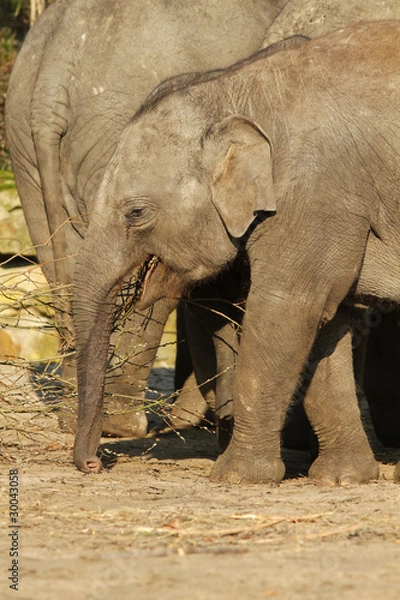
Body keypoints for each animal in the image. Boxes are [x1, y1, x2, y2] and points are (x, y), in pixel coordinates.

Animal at [4, 0, 290, 434]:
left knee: (60, 263)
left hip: (25, 144)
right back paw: (123, 424)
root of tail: (50, 85)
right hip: (110, 137)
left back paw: (77, 417)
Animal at [72, 21, 400, 486]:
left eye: (135, 213)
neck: (236, 86)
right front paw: (342, 479)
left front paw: (235, 476)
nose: (93, 463)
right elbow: (326, 321)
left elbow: (287, 308)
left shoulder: (319, 194)